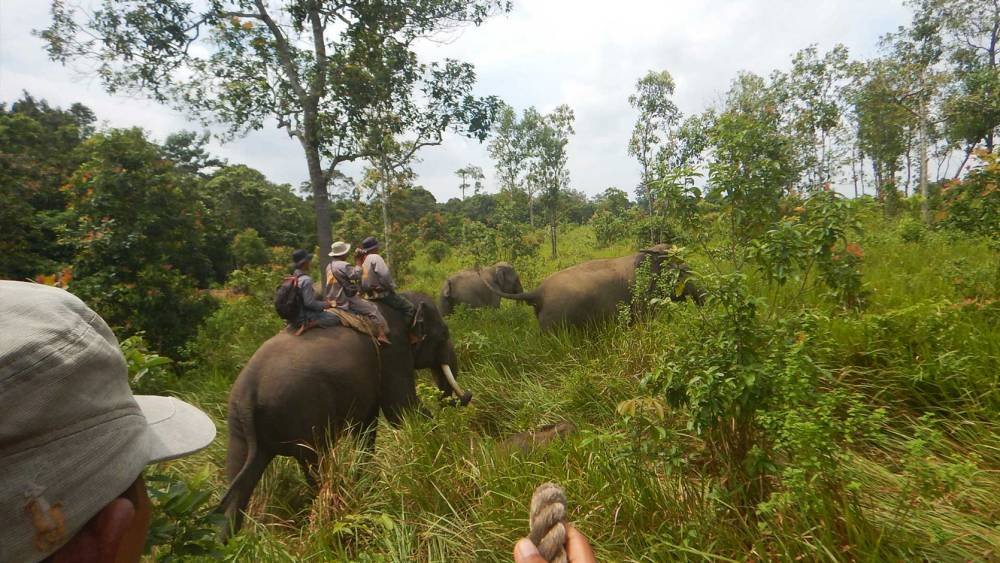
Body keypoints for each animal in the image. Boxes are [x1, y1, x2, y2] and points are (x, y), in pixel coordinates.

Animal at [218, 292, 469, 540]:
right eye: (444, 333)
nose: (467, 397)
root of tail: (249, 395)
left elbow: (368, 425)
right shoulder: (392, 351)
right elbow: (400, 410)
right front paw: (442, 440)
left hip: (238, 429)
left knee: (237, 475)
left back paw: (228, 542)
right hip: (301, 411)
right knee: (316, 463)